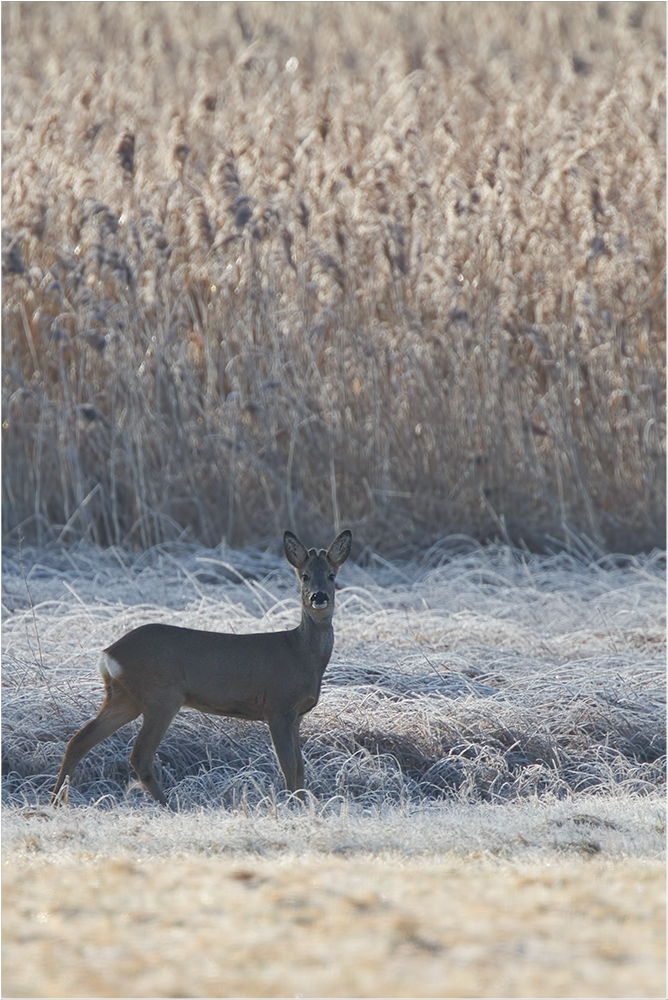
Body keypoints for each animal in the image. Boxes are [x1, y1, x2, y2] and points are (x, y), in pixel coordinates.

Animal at [52, 532, 352, 804]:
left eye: (331, 576)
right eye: (304, 576)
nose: (319, 597)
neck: (299, 653)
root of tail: (108, 655)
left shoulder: (296, 715)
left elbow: (300, 769)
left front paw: (302, 803)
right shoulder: (277, 707)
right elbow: (289, 767)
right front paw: (294, 805)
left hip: (125, 698)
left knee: (79, 740)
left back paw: (56, 800)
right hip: (161, 696)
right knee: (139, 755)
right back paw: (169, 805)